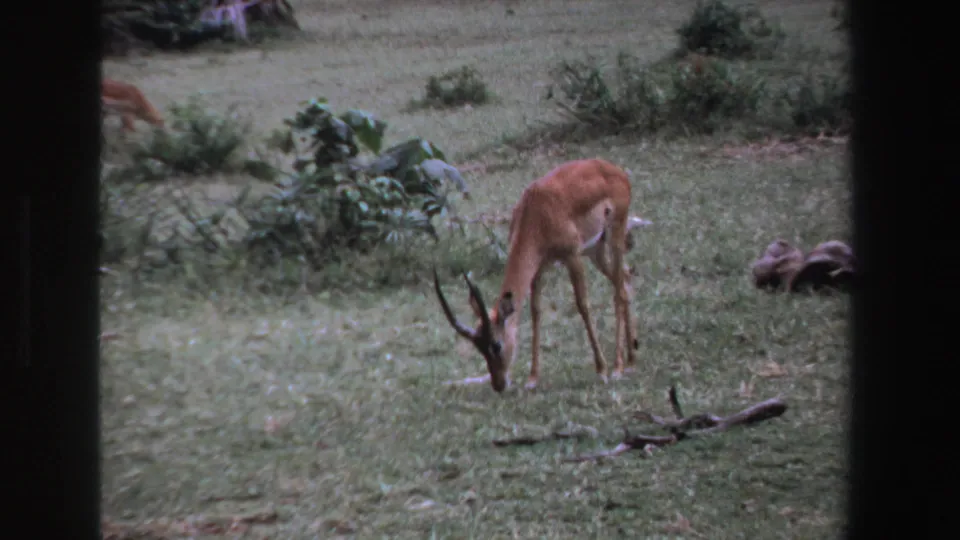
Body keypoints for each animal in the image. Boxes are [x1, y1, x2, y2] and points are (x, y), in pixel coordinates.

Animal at [433, 158, 650, 393]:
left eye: (496, 345)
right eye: (478, 347)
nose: (499, 384)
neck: (536, 212)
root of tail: (614, 169)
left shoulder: (572, 257)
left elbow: (582, 305)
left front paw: (601, 370)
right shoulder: (538, 269)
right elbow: (535, 312)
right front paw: (532, 378)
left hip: (614, 235)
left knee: (619, 290)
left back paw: (619, 367)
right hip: (596, 250)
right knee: (625, 278)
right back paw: (631, 358)